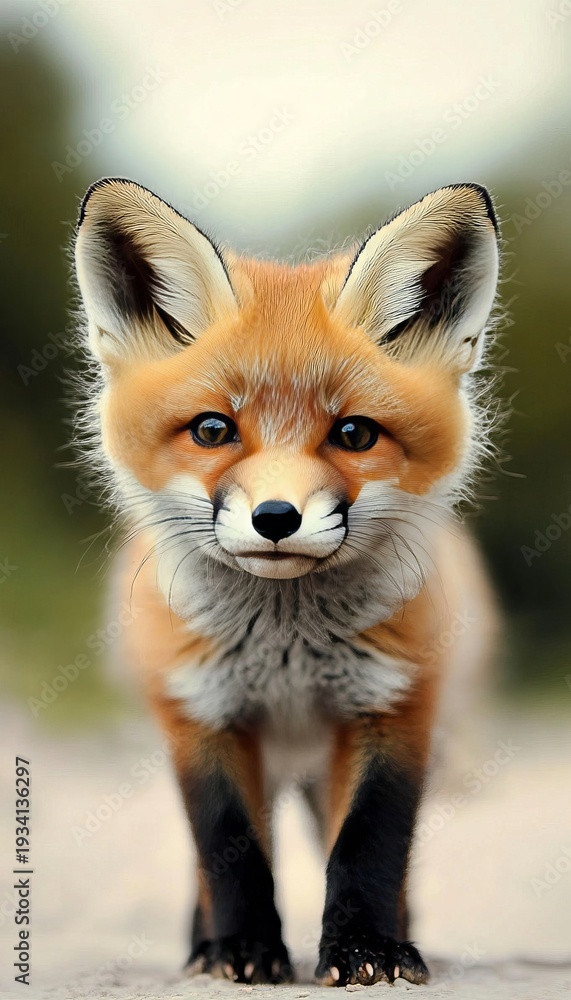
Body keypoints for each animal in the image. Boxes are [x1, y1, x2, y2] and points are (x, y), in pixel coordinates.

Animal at [73, 178, 500, 987]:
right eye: (212, 430)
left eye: (354, 434)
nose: (276, 518)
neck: (287, 655)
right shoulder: (198, 713)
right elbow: (226, 848)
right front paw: (240, 949)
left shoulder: (396, 705)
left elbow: (369, 845)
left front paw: (368, 949)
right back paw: (202, 941)